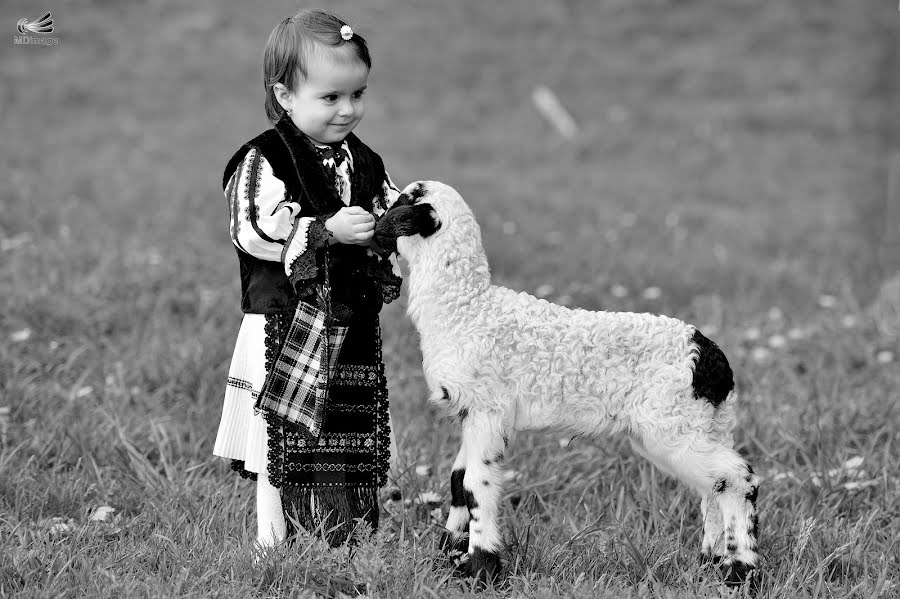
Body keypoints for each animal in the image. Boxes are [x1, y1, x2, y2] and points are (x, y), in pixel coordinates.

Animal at [372, 180, 760, 588]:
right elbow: (458, 481)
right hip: (698, 425)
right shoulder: (470, 412)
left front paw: (482, 568)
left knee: (738, 479)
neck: (466, 308)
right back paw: (712, 561)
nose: (374, 223)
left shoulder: (487, 409)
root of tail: (714, 360)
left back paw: (741, 570)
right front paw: (452, 560)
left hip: (673, 425)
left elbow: (476, 486)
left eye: (401, 199)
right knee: (714, 488)